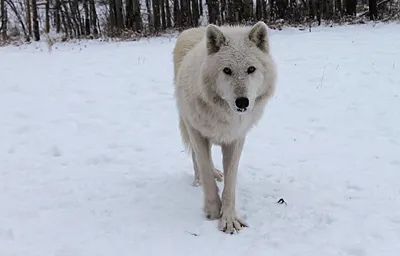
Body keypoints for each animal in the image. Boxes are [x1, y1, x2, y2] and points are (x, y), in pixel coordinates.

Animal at [172, 22, 278, 234]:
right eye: (227, 70)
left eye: (251, 69)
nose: (242, 102)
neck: (223, 113)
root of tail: (195, 29)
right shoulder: (197, 132)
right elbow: (205, 169)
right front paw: (213, 210)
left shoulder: (236, 138)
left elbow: (230, 182)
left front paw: (229, 219)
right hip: (187, 122)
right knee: (197, 158)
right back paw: (199, 180)